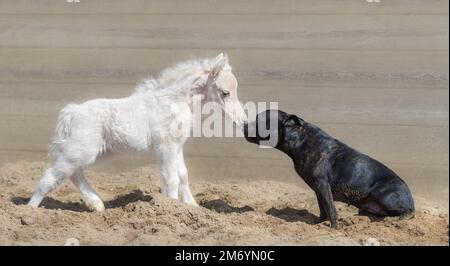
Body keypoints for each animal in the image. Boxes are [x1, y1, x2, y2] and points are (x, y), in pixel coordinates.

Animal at [29, 53, 246, 212]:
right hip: (82, 150)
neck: (173, 101)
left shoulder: (177, 146)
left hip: (96, 153)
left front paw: (192, 206)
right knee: (51, 177)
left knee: (74, 173)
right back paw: (28, 211)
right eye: (225, 92)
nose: (242, 121)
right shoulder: (165, 147)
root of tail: (71, 112)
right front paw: (172, 208)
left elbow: (183, 174)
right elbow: (171, 178)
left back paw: (96, 204)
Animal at [244, 110, 414, 229]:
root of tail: (410, 197)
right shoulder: (318, 189)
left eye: (260, 121)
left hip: (383, 193)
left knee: (408, 212)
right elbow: (323, 208)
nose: (244, 125)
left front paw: (333, 228)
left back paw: (399, 220)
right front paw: (318, 224)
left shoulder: (322, 185)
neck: (299, 138)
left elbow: (331, 208)